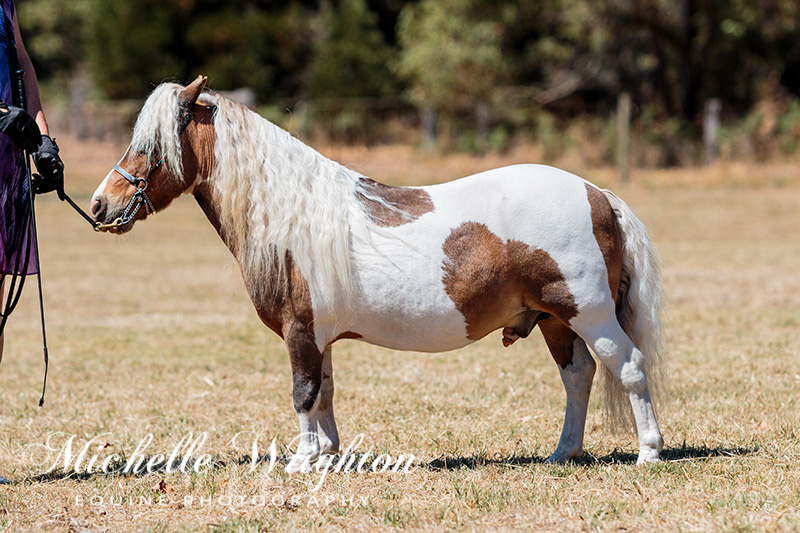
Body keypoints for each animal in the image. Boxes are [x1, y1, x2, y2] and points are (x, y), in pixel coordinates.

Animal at [90, 77, 668, 472]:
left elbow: (302, 393)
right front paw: (327, 455)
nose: (99, 204)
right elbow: (324, 392)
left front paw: (301, 462)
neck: (291, 215)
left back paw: (648, 452)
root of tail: (598, 193)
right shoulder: (319, 337)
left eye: (151, 147)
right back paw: (563, 453)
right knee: (579, 376)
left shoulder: (301, 333)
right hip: (553, 319)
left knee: (628, 367)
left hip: (589, 314)